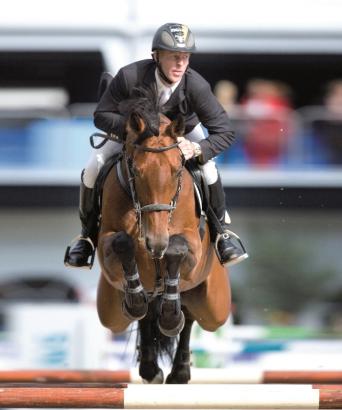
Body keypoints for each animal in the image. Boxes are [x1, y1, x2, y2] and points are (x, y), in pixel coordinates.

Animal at [95, 89, 231, 384]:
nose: (155, 242)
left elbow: (176, 250)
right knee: (146, 314)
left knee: (189, 314)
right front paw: (136, 301)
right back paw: (151, 366)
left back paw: (179, 370)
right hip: (110, 311)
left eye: (177, 170)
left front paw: (170, 318)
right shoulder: (107, 246)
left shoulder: (192, 247)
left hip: (213, 306)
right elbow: (122, 242)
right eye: (135, 170)